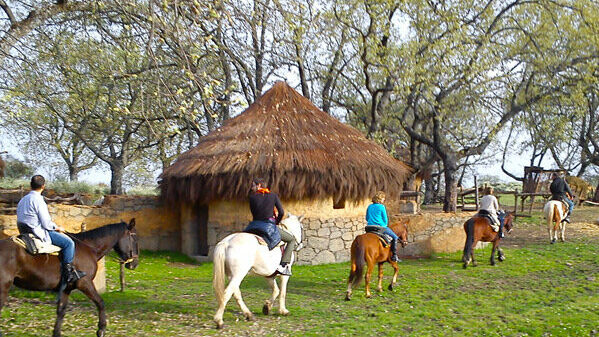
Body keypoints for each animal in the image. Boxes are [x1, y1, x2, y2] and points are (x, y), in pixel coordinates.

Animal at [0, 218, 139, 336]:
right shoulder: (85, 283)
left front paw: (56, 333)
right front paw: (101, 330)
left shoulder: (66, 288)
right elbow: (100, 302)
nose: (134, 264)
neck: (88, 248)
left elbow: (61, 311)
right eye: (134, 238)